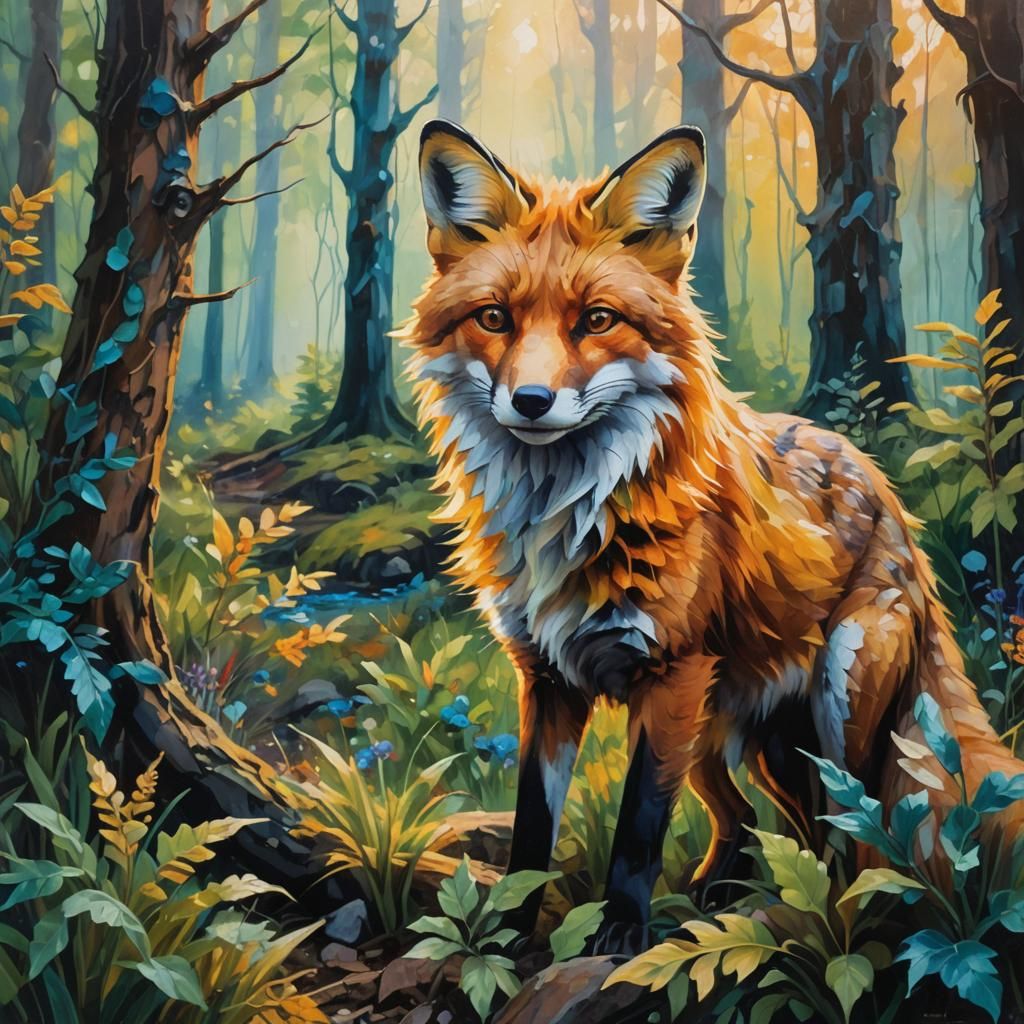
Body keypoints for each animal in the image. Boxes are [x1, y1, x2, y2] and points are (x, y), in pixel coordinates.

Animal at [405, 119, 1024, 950]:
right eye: (495, 317)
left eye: (596, 320)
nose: (531, 401)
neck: (565, 517)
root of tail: (886, 494)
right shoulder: (548, 678)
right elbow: (533, 828)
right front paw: (508, 933)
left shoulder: (672, 668)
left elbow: (637, 828)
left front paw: (620, 934)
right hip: (731, 736)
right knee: (763, 824)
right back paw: (730, 896)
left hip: (830, 708)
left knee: (862, 835)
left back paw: (836, 919)